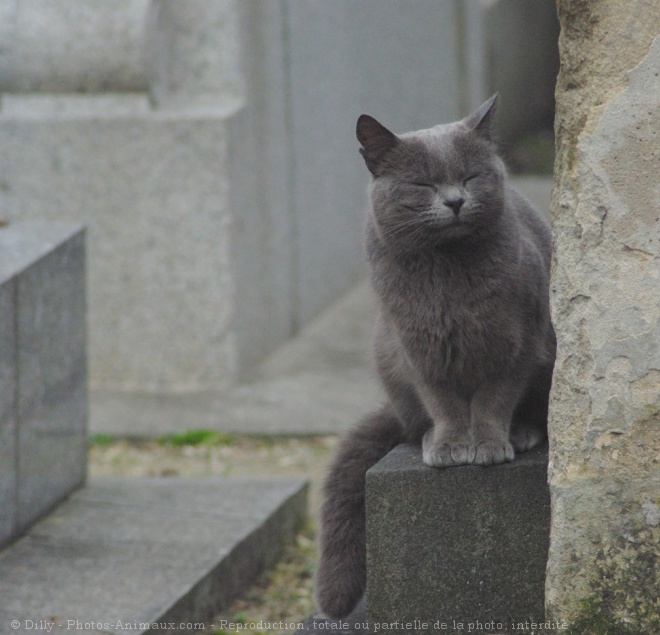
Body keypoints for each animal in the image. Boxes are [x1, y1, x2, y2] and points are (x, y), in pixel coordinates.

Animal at [318, 95, 556, 620]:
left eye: (470, 176)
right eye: (422, 184)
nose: (455, 201)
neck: (447, 273)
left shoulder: (517, 341)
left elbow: (493, 399)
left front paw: (488, 444)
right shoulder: (419, 347)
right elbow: (444, 402)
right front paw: (450, 445)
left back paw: (523, 433)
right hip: (387, 351)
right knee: (413, 424)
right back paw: (428, 438)